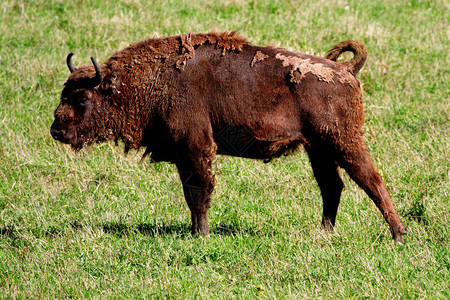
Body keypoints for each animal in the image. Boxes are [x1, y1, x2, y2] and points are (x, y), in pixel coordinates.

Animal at [51, 31, 406, 241]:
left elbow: (199, 192)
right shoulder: (184, 156)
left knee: (371, 180)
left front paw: (201, 235)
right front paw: (196, 232)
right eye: (64, 93)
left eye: (82, 98)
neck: (150, 82)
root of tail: (346, 70)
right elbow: (191, 194)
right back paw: (323, 234)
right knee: (333, 186)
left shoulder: (196, 149)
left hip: (344, 141)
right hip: (317, 148)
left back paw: (398, 234)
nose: (57, 130)